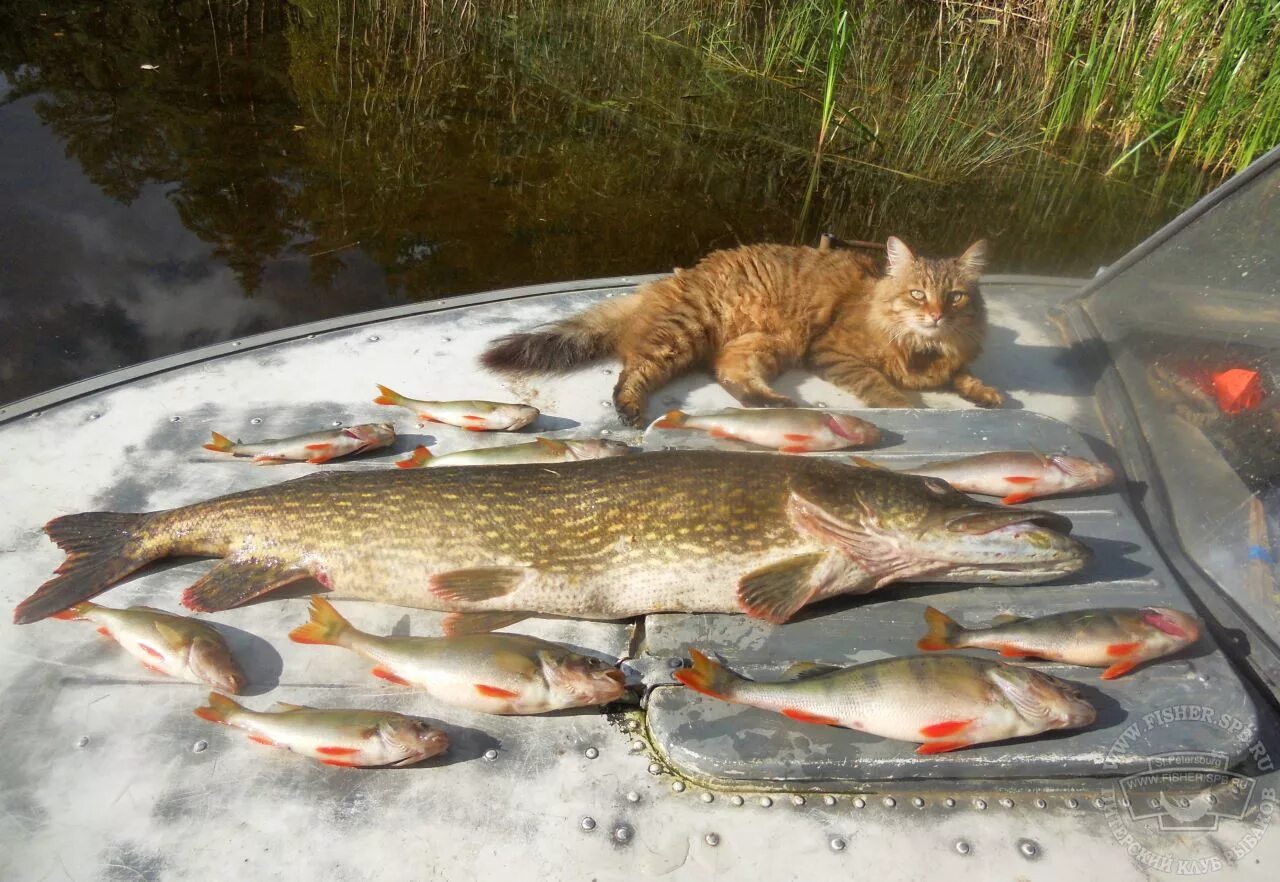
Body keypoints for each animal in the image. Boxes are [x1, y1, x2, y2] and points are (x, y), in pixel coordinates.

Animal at [481, 235, 998, 424]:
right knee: (635, 370)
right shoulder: (833, 351)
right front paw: (911, 406)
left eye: (956, 297)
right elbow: (885, 388)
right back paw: (629, 408)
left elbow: (965, 376)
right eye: (917, 295)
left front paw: (986, 394)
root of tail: (677, 277)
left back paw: (775, 402)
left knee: (730, 375)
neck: (923, 347)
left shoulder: (953, 358)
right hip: (685, 332)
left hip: (765, 342)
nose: (937, 315)